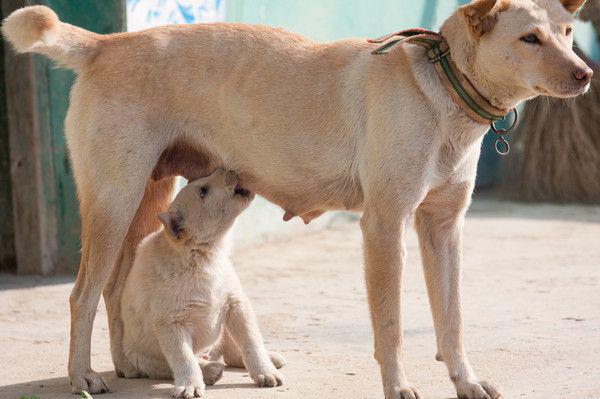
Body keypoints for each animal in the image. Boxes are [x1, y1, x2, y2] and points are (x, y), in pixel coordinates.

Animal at [120, 170, 284, 399]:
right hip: (142, 358)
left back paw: (271, 358)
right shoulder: (170, 323)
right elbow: (183, 358)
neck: (204, 256)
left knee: (232, 351)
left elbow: (251, 340)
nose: (229, 170)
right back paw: (209, 370)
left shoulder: (236, 304)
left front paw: (265, 372)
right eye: (203, 191)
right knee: (170, 365)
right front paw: (189, 385)